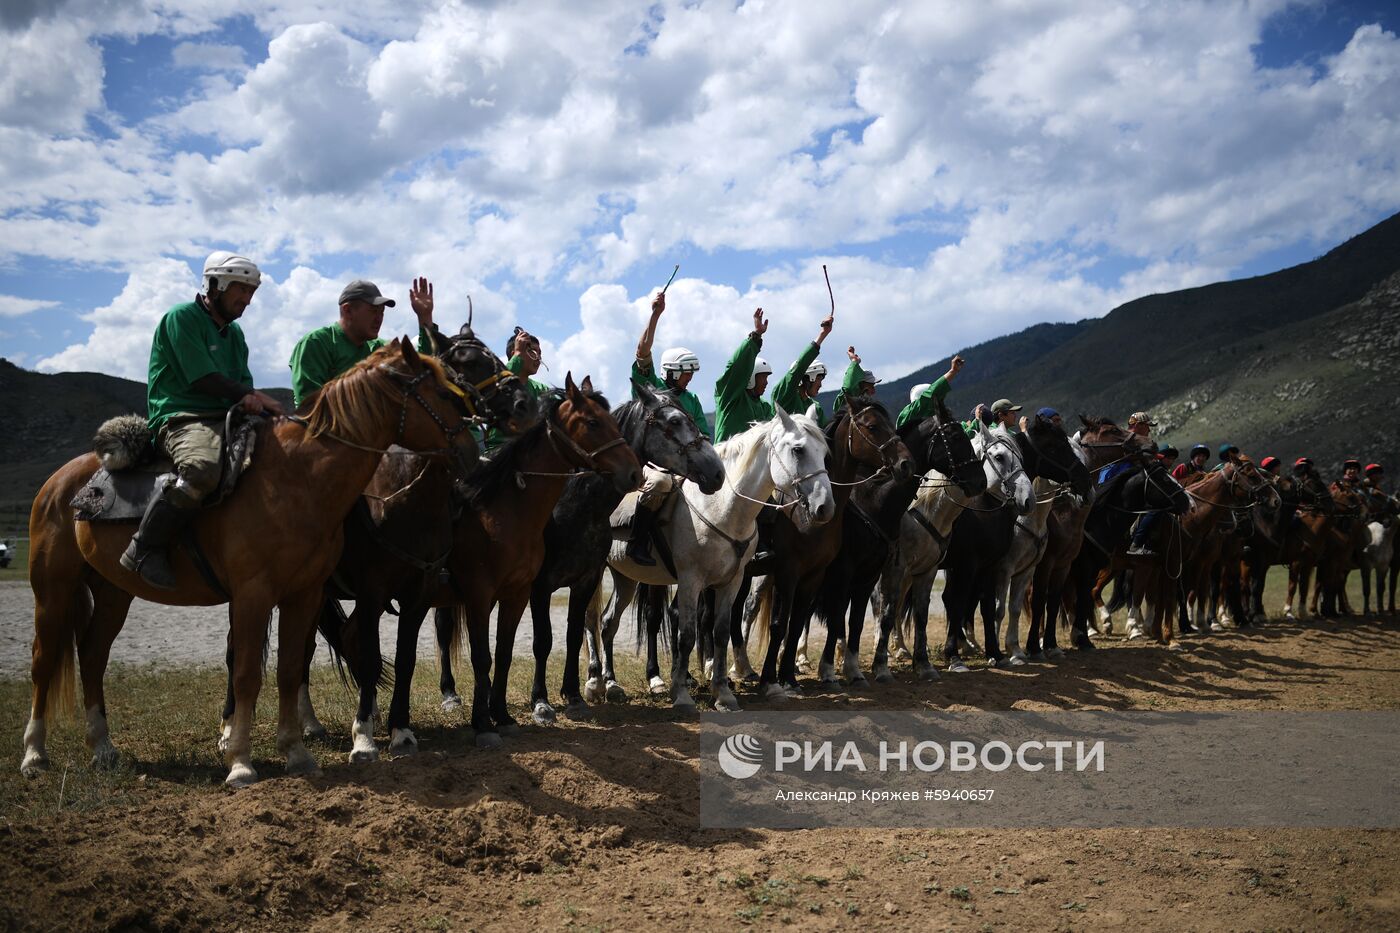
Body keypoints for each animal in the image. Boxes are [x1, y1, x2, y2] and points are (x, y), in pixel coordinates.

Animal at [21, 337, 476, 778]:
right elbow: (247, 673)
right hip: (52, 589)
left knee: (92, 655)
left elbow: (291, 669)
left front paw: (296, 752)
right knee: (44, 661)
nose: (473, 452)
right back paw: (34, 755)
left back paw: (102, 748)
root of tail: (63, 480)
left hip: (113, 590)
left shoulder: (307, 594)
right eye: (444, 393)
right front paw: (241, 761)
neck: (297, 480)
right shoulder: (261, 594)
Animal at [434, 375, 641, 745]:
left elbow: (507, 651)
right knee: (441, 634)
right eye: (592, 422)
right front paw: (498, 717)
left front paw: (501, 714)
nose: (634, 474)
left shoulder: (524, 591)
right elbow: (499, 651)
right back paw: (448, 696)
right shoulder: (494, 591)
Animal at [593, 406, 828, 706]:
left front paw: (723, 692)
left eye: (825, 452)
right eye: (798, 450)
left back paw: (611, 683)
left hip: (626, 578)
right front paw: (681, 693)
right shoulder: (691, 580)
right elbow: (686, 634)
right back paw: (596, 682)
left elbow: (721, 631)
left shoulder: (733, 581)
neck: (721, 507)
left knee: (607, 622)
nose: (824, 506)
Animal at [940, 420, 1041, 669]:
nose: (1029, 500)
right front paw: (953, 655)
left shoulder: (987, 567)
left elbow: (987, 608)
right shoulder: (967, 566)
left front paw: (994, 652)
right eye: (999, 457)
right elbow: (959, 603)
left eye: (1020, 457)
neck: (974, 513)